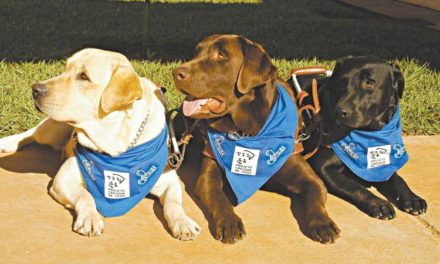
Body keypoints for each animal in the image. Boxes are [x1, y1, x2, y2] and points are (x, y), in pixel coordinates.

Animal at [0, 48, 200, 239]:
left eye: (83, 76)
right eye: (65, 68)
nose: (35, 89)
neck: (115, 139)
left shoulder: (169, 179)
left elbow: (174, 204)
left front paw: (183, 222)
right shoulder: (63, 179)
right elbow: (86, 196)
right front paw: (90, 217)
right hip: (52, 130)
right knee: (32, 133)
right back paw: (7, 142)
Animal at [172, 34, 340, 243]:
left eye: (221, 55)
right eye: (196, 53)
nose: (176, 72)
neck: (246, 132)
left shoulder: (310, 178)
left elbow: (315, 198)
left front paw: (323, 224)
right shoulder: (207, 175)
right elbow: (218, 197)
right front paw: (230, 223)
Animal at [296, 56, 426, 221]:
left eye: (369, 83)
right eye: (342, 83)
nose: (340, 112)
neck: (367, 133)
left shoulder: (382, 165)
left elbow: (398, 179)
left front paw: (412, 198)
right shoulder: (323, 168)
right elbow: (355, 187)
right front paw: (378, 203)